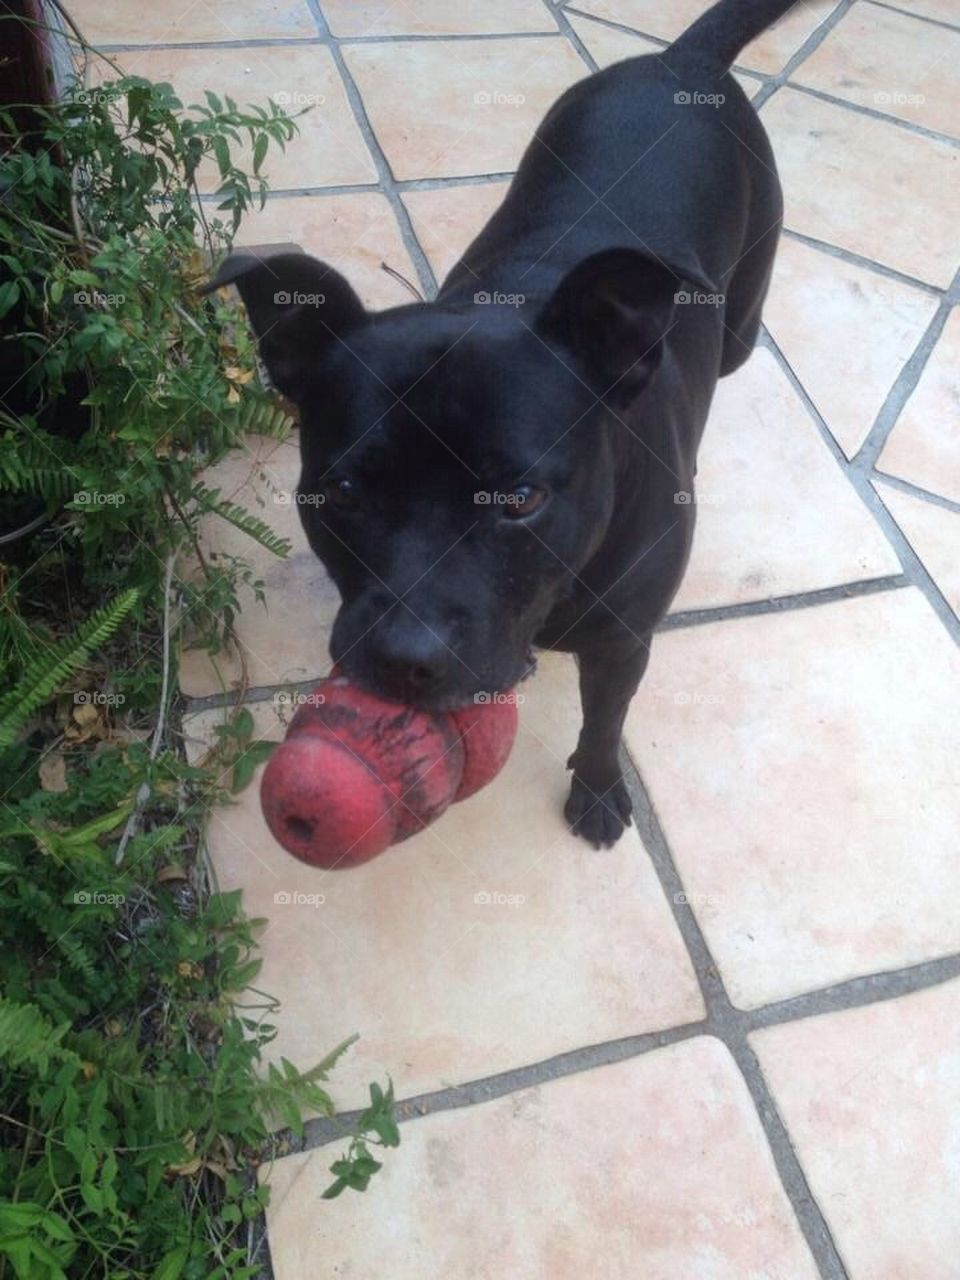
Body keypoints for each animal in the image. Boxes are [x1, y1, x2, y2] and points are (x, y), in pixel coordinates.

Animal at [212, 0, 798, 849]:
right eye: (345, 492)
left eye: (520, 500)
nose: (404, 657)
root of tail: (681, 61)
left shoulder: (624, 642)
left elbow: (605, 719)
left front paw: (598, 787)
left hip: (744, 326)